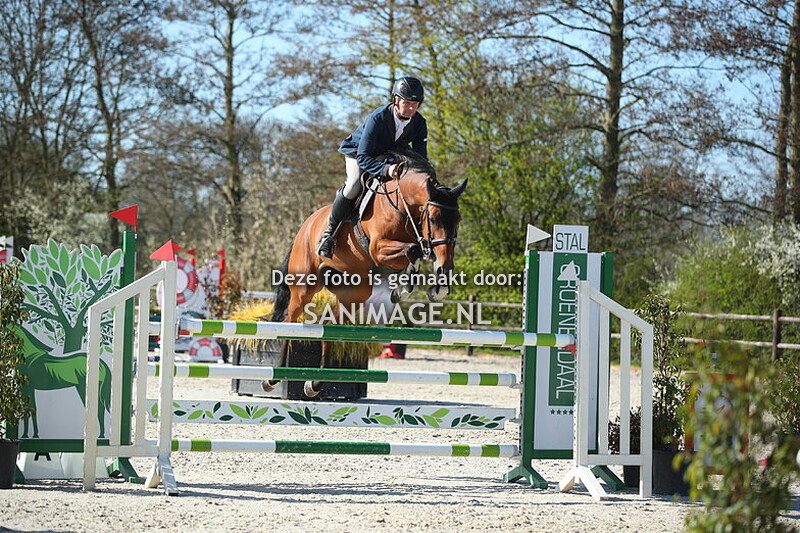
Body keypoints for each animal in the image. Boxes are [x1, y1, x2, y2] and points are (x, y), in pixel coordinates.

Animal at [264, 149, 467, 397]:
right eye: (433, 218)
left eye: (457, 220)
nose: (445, 265)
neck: (403, 205)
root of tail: (307, 224)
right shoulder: (378, 249)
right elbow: (413, 249)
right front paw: (408, 286)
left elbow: (416, 252)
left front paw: (427, 287)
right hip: (305, 287)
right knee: (290, 319)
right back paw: (274, 378)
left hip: (354, 292)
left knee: (329, 324)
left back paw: (315, 383)